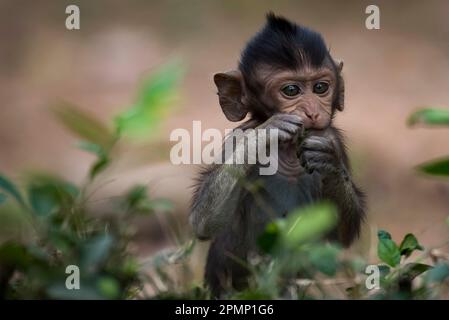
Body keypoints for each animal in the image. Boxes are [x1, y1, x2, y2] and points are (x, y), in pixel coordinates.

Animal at [188, 13, 364, 298]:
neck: (289, 152)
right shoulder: (238, 135)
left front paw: (329, 162)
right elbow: (203, 223)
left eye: (320, 87)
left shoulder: (332, 138)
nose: (313, 111)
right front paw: (267, 132)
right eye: (291, 90)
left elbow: (341, 234)